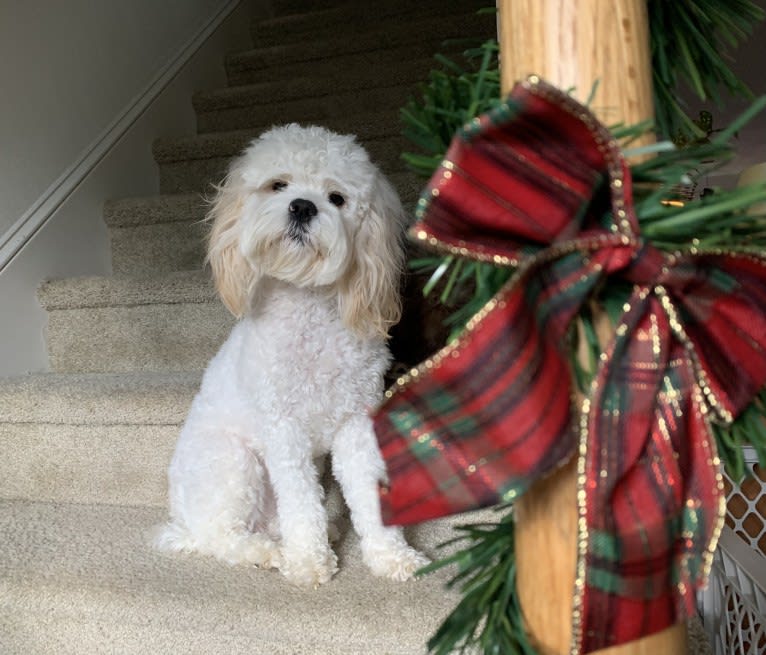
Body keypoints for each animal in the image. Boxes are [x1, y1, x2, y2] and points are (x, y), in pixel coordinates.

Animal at [153, 124, 428, 588]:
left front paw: (391, 556)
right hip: (234, 462)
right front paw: (309, 564)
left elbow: (367, 492)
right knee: (221, 538)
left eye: (337, 198)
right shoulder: (284, 430)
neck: (309, 308)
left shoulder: (356, 424)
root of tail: (181, 524)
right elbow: (300, 501)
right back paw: (269, 552)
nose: (302, 206)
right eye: (277, 185)